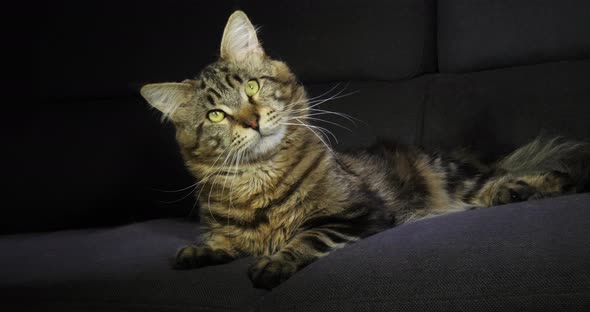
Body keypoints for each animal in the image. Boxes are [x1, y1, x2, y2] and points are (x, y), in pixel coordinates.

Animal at [140, 10, 590, 290]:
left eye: (252, 87)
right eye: (216, 115)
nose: (251, 121)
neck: (259, 179)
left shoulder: (357, 213)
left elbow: (306, 236)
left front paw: (272, 263)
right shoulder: (233, 227)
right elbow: (225, 241)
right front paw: (198, 252)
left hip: (455, 179)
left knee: (505, 180)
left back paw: (548, 183)